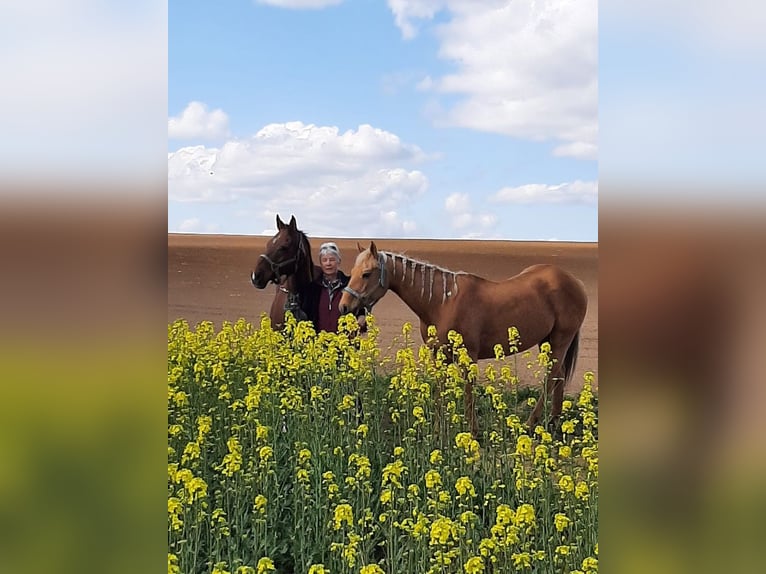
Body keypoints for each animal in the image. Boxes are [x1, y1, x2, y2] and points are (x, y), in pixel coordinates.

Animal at [338, 241, 588, 436]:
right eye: (353, 271)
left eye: (366, 273)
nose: (344, 306)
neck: (442, 302)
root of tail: (574, 281)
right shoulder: (439, 355)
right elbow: (439, 391)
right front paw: (438, 430)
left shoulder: (469, 356)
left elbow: (468, 392)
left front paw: (473, 431)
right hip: (547, 340)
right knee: (559, 376)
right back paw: (553, 422)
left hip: (560, 339)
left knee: (551, 377)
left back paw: (531, 423)